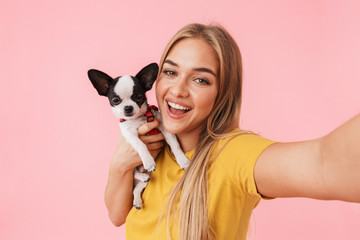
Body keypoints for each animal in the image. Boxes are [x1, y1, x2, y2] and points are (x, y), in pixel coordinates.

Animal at [87, 62, 190, 209]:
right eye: (115, 100)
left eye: (139, 97)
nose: (128, 107)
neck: (139, 119)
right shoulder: (129, 134)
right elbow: (141, 145)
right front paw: (148, 161)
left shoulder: (163, 127)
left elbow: (174, 144)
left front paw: (182, 159)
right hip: (131, 167)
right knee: (134, 172)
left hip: (143, 182)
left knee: (137, 188)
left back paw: (137, 197)